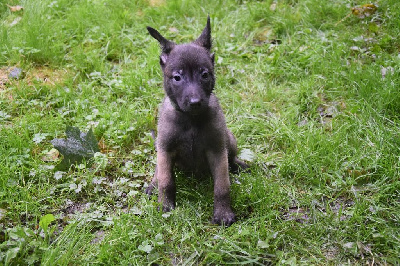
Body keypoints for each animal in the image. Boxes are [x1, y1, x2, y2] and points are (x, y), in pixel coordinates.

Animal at [147, 16, 247, 225]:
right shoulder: (165, 149)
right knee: (158, 171)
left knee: (232, 157)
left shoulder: (218, 151)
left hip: (229, 139)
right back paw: (152, 185)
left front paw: (223, 213)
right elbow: (166, 181)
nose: (195, 102)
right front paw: (165, 206)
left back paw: (238, 164)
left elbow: (222, 187)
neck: (190, 120)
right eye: (177, 77)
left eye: (204, 74)